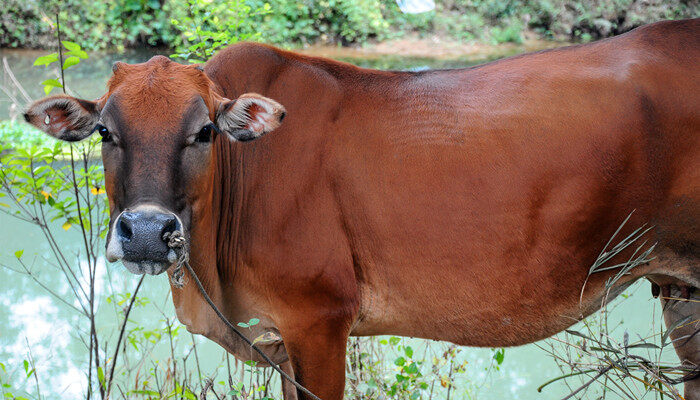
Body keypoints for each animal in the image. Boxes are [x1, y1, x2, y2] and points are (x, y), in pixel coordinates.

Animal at [24, 18, 696, 400]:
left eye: (205, 132)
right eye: (105, 132)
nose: (144, 232)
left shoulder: (320, 318)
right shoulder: (280, 338)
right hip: (677, 284)